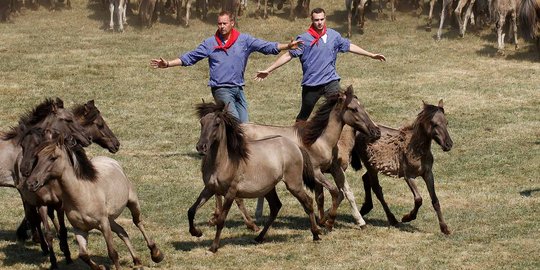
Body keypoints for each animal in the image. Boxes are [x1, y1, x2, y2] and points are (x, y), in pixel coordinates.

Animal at [25, 133, 163, 270]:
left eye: (53, 158)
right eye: (37, 157)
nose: (31, 183)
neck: (81, 196)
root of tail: (110, 160)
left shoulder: (103, 224)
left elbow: (113, 253)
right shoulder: (80, 229)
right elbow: (83, 255)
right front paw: (100, 267)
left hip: (132, 202)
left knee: (137, 222)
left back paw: (156, 254)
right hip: (110, 219)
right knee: (122, 231)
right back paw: (137, 261)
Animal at [189, 102, 320, 253]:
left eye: (217, 123)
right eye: (202, 122)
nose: (201, 147)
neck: (224, 162)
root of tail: (295, 146)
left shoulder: (230, 193)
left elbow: (221, 220)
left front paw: (213, 247)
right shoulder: (209, 189)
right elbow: (191, 210)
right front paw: (196, 232)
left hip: (294, 184)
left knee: (308, 202)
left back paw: (316, 234)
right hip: (269, 188)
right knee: (276, 207)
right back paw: (259, 237)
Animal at [348, 99, 454, 234]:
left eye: (446, 122)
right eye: (434, 124)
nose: (448, 144)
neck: (417, 151)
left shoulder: (428, 174)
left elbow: (435, 200)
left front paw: (444, 228)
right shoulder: (408, 176)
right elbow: (418, 199)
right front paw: (407, 218)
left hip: (374, 167)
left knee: (365, 179)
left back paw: (365, 209)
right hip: (371, 167)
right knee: (377, 189)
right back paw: (392, 219)